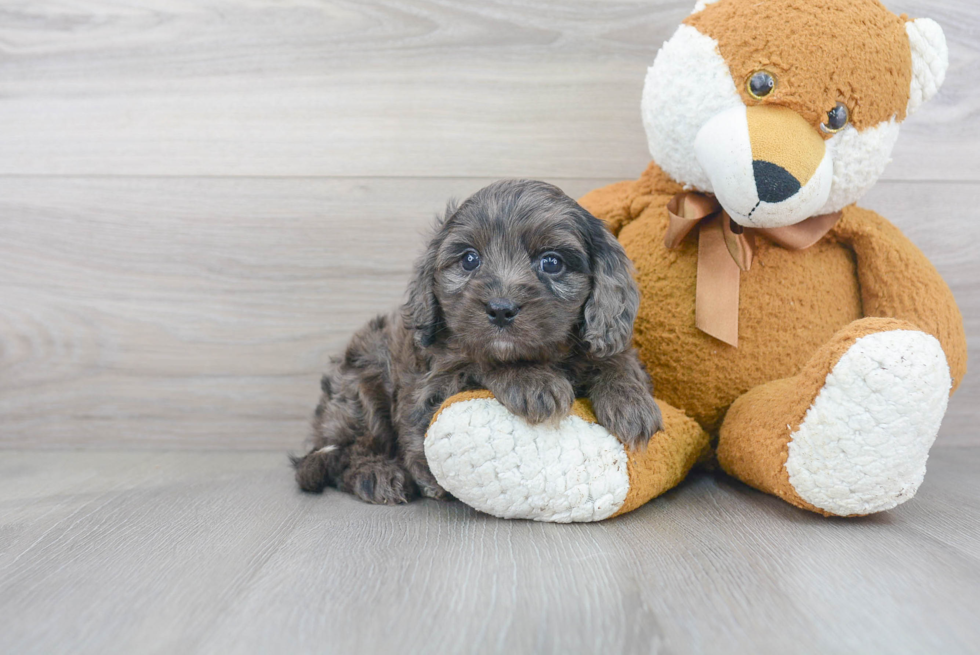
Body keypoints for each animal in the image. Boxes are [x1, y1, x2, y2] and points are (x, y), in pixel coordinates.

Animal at [290, 182, 660, 504]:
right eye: (469, 259)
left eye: (552, 262)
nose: (500, 309)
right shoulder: (429, 391)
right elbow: (481, 361)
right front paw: (531, 381)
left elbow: (617, 358)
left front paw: (631, 402)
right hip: (359, 389)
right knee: (345, 454)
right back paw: (377, 473)